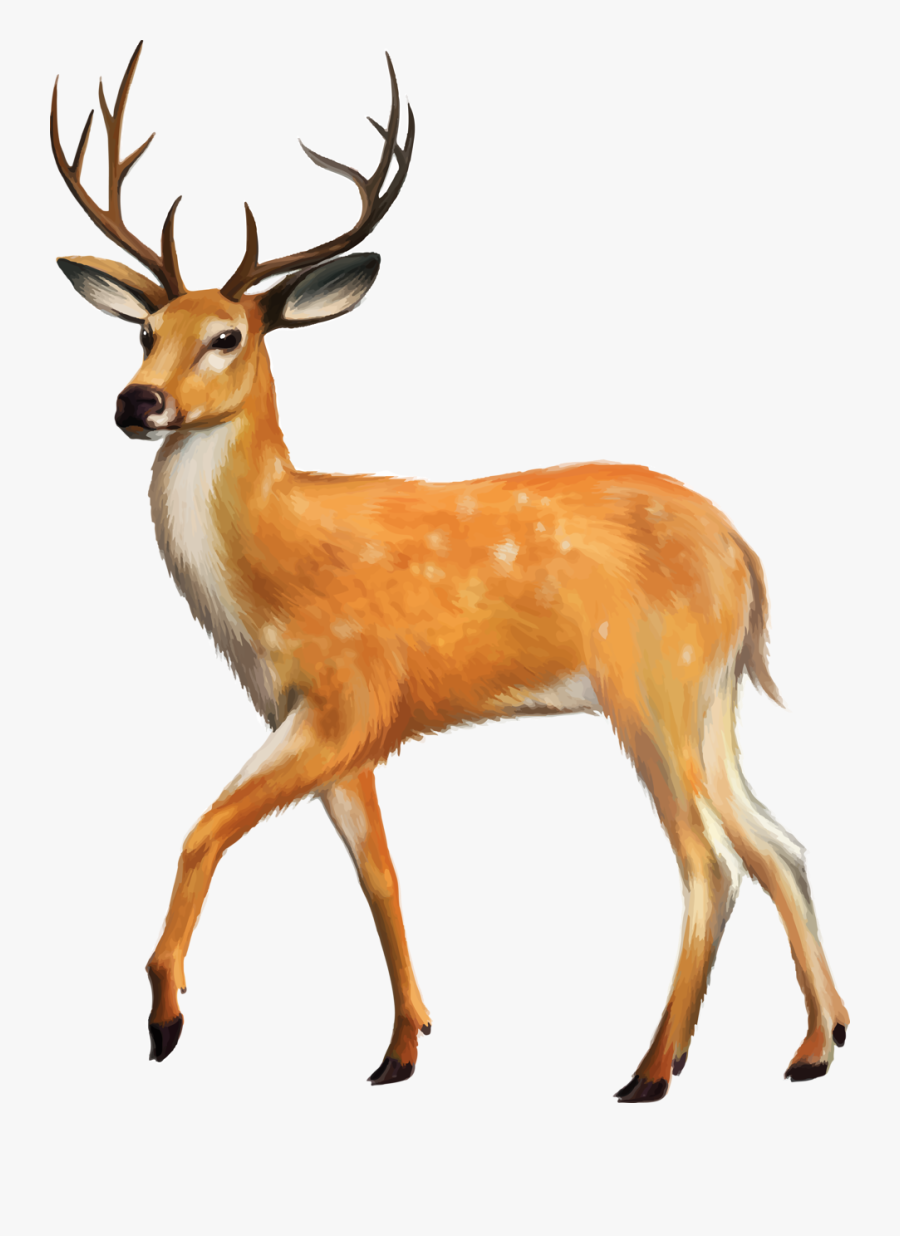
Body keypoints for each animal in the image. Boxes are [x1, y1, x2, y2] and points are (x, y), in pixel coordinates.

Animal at [51, 42, 848, 1102]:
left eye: (228, 336)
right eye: (145, 333)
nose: (136, 403)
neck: (271, 565)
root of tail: (749, 560)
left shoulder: (351, 696)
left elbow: (203, 828)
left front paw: (166, 1017)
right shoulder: (318, 719)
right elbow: (379, 873)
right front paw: (402, 1047)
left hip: (650, 684)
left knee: (708, 862)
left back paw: (651, 1069)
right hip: (711, 696)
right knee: (779, 845)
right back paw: (816, 1045)